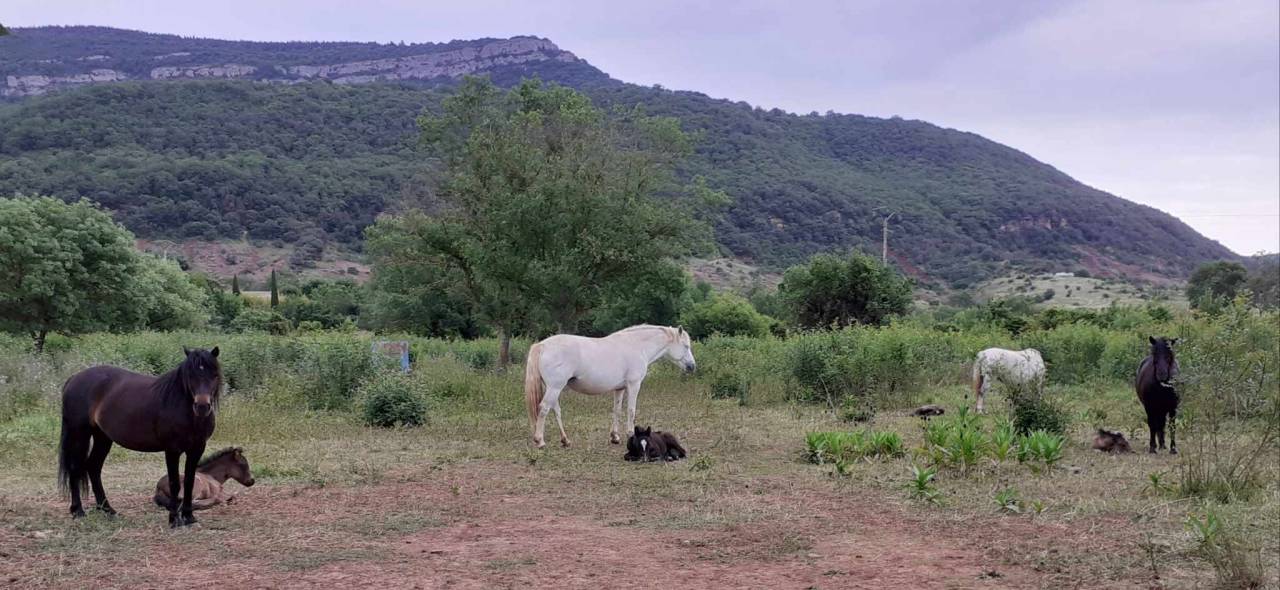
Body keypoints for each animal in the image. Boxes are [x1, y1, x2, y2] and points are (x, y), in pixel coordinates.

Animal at [58, 347, 221, 527]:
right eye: (190, 375)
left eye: (214, 375)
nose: (202, 406)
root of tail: (74, 378)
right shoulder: (172, 450)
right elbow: (174, 484)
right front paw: (174, 520)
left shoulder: (197, 449)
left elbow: (189, 482)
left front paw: (189, 517)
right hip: (79, 434)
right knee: (75, 468)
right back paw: (78, 511)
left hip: (102, 438)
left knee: (93, 467)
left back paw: (108, 510)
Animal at [524, 325, 696, 448]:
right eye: (686, 346)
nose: (692, 366)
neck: (637, 346)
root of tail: (542, 345)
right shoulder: (634, 385)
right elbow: (631, 410)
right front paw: (630, 435)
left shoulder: (619, 389)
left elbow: (617, 410)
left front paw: (615, 437)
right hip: (555, 388)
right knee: (544, 409)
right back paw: (540, 441)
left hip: (554, 388)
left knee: (556, 410)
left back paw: (565, 440)